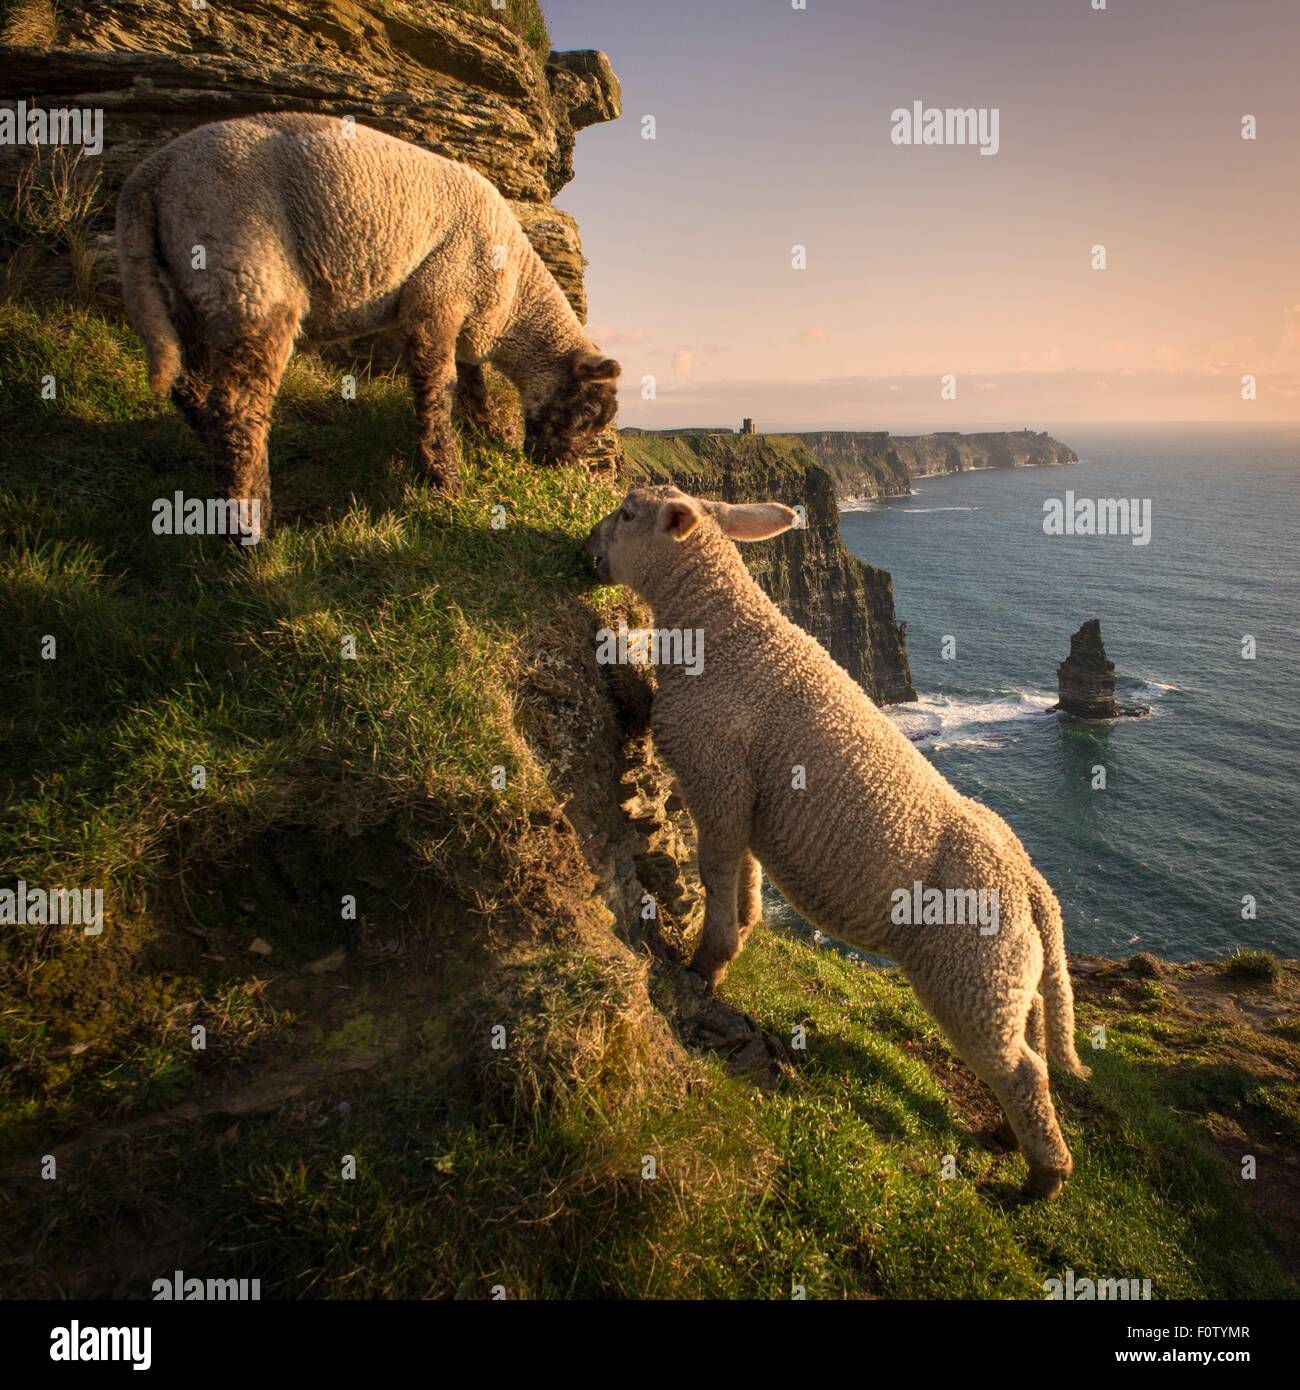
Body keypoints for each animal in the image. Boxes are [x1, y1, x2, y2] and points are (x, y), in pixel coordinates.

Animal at [114, 109, 622, 525]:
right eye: (586, 414)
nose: (556, 468)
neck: (513, 297)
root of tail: (150, 176)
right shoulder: (438, 297)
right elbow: (438, 391)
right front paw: (445, 480)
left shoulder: (462, 312)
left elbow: (472, 380)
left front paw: (486, 430)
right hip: (248, 271)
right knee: (237, 409)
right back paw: (251, 526)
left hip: (189, 291)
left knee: (192, 389)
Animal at [583, 486, 1095, 1195]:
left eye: (629, 515)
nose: (586, 551)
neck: (723, 631)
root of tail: (1032, 884)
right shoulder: (745, 799)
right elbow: (745, 876)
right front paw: (743, 932)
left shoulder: (717, 774)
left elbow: (715, 871)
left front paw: (707, 964)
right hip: (1007, 974)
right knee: (1030, 1043)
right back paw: (1008, 1137)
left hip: (971, 972)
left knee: (1020, 1069)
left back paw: (1042, 1178)